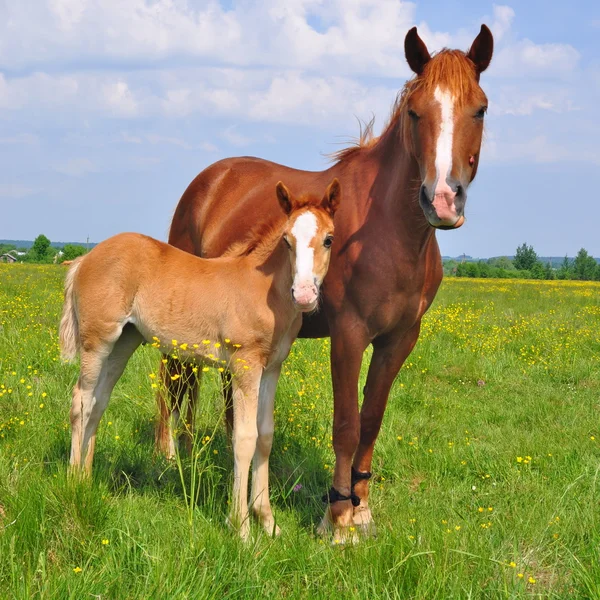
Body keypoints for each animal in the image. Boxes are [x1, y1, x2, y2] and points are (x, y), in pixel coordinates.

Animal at [61, 178, 342, 540]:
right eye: (286, 240)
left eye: (328, 239)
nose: (304, 295)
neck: (263, 290)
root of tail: (85, 258)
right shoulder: (245, 366)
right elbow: (244, 438)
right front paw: (241, 528)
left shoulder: (272, 368)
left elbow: (265, 435)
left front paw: (268, 522)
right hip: (98, 341)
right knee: (81, 401)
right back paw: (72, 483)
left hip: (124, 342)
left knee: (98, 402)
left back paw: (86, 478)